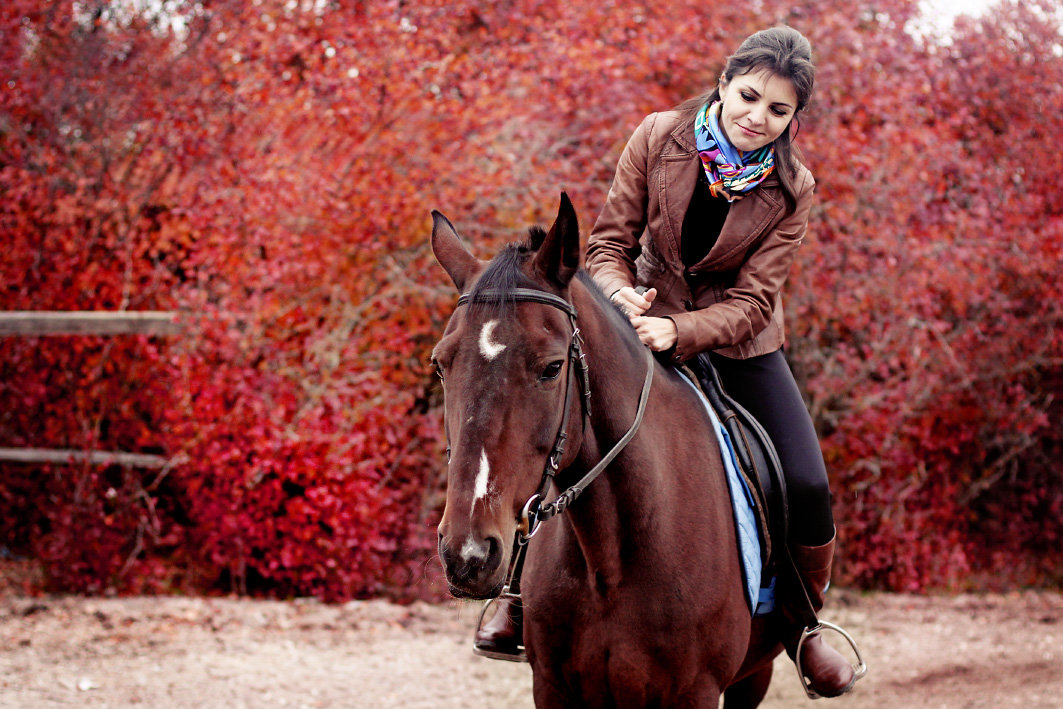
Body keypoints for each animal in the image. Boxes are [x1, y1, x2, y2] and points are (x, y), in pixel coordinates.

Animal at [427, 191, 786, 705]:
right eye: (441, 365)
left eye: (552, 368)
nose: (467, 554)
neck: (611, 560)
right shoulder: (552, 686)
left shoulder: (696, 691)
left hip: (755, 674)